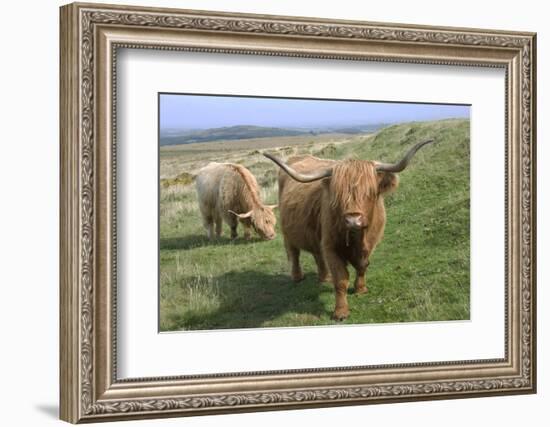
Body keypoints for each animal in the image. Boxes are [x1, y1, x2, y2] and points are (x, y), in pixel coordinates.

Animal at [266, 140, 436, 320]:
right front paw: (341, 312)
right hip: (288, 232)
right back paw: (298, 277)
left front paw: (361, 289)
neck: (358, 238)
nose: (353, 220)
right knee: (294, 253)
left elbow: (362, 265)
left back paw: (325, 278)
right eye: (338, 195)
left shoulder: (370, 243)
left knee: (317, 254)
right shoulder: (331, 246)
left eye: (370, 192)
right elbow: (341, 279)